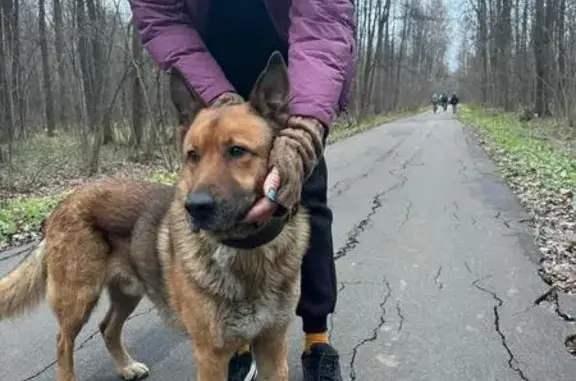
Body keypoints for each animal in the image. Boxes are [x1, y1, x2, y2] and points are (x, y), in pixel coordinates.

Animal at [0, 51, 310, 380]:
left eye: (237, 151)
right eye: (193, 155)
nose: (195, 207)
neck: (247, 251)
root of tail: (65, 201)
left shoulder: (272, 346)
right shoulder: (211, 356)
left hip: (127, 291)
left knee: (107, 327)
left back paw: (125, 366)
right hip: (79, 298)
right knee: (63, 342)